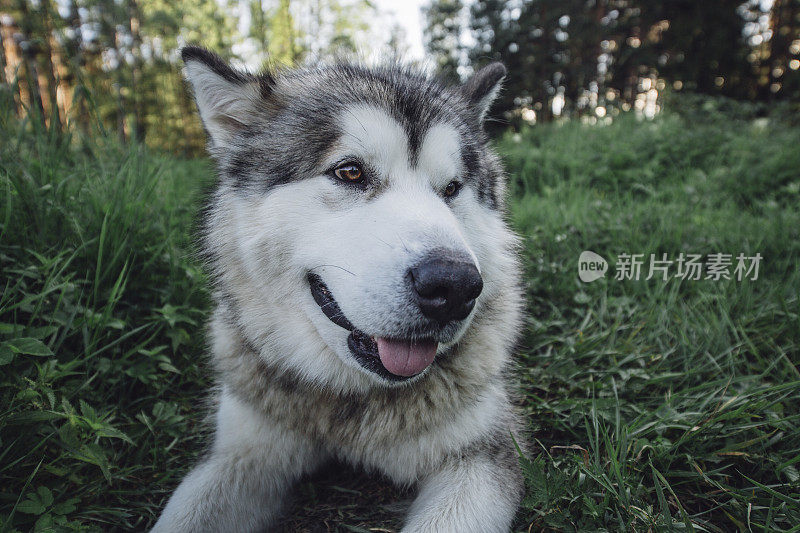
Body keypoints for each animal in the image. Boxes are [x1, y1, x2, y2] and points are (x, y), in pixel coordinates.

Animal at [152, 46, 524, 532]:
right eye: (350, 172)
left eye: (452, 188)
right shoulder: (240, 453)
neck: (346, 403)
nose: (456, 287)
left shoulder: (483, 456)